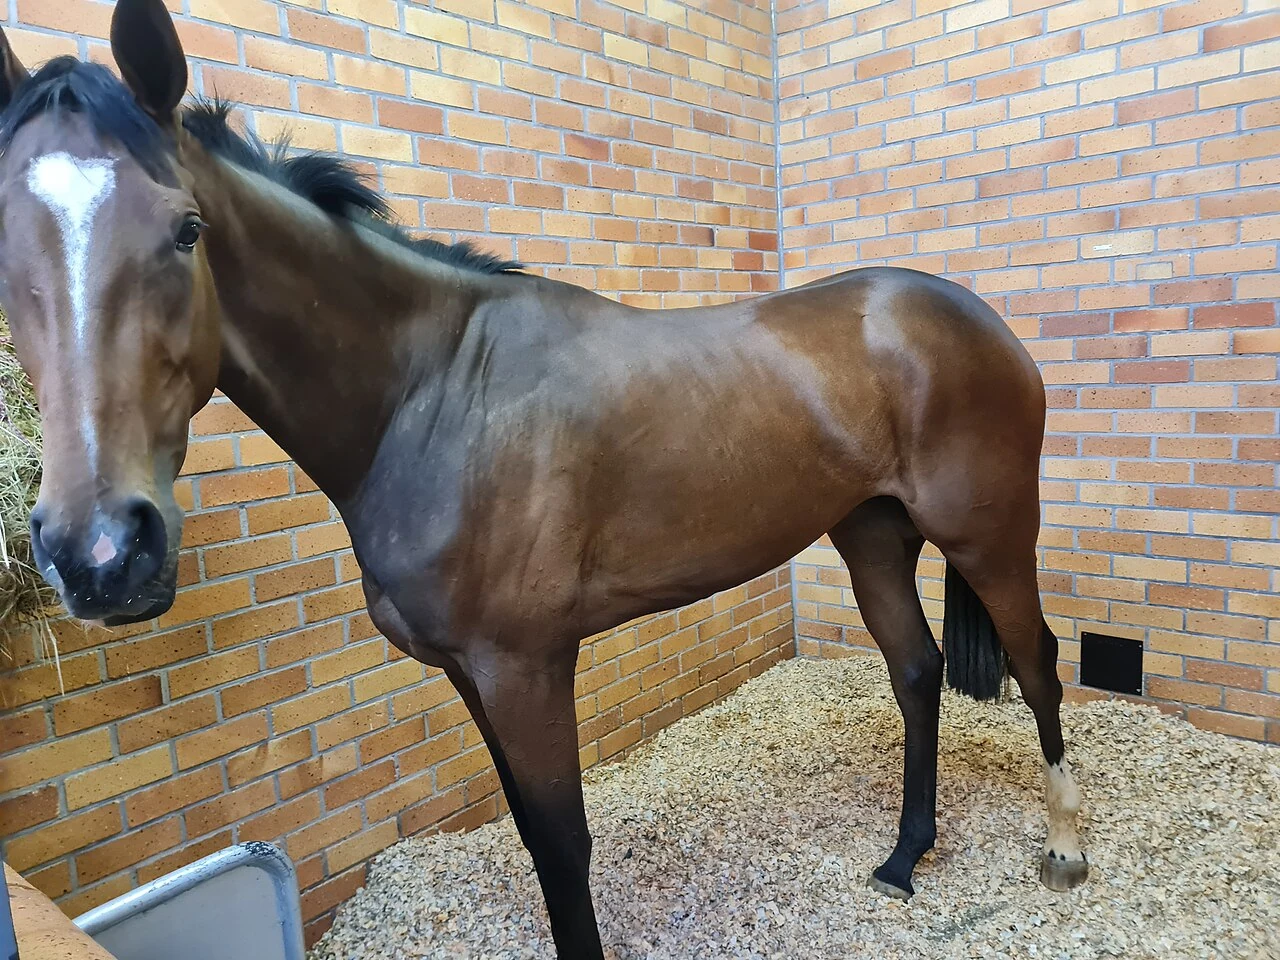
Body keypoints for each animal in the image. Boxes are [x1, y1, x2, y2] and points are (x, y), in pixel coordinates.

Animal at [0, 3, 1087, 956]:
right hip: (870, 532)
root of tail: (969, 316)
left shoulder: (526, 667)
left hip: (990, 533)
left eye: (186, 230)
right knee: (915, 672)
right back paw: (904, 858)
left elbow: (564, 848)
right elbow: (530, 833)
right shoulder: (466, 673)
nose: (99, 553)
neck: (432, 395)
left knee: (1036, 662)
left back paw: (1065, 851)